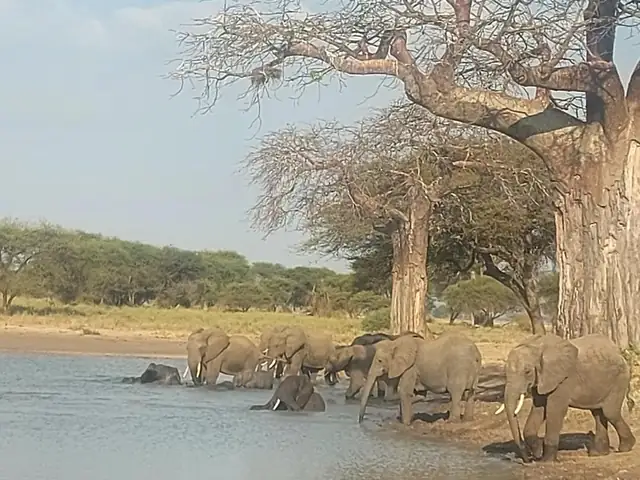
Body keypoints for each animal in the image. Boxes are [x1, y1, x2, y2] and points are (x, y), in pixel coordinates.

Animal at [495, 333, 636, 463]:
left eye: (527, 372)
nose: (528, 460)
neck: (537, 347)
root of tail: (619, 353)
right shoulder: (542, 380)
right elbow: (539, 409)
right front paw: (538, 452)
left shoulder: (563, 380)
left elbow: (554, 411)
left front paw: (546, 461)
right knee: (598, 413)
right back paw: (598, 453)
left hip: (620, 379)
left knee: (610, 412)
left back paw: (626, 447)